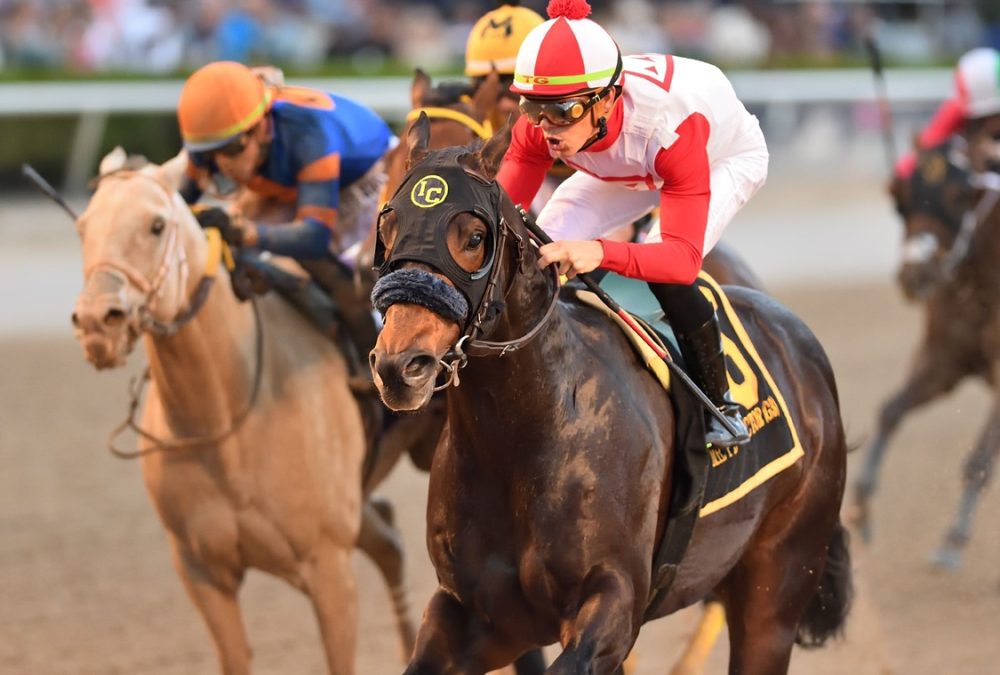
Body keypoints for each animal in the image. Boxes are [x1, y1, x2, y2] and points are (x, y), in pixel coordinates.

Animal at [72, 149, 412, 675]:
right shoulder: (202, 572)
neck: (227, 418)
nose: (95, 322)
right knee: (390, 541)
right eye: (84, 227)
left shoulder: (329, 566)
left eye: (155, 225)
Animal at [368, 119, 852, 672]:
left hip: (776, 589)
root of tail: (800, 343)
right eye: (388, 228)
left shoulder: (614, 603)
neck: (531, 432)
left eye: (474, 237)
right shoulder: (479, 615)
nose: (400, 366)